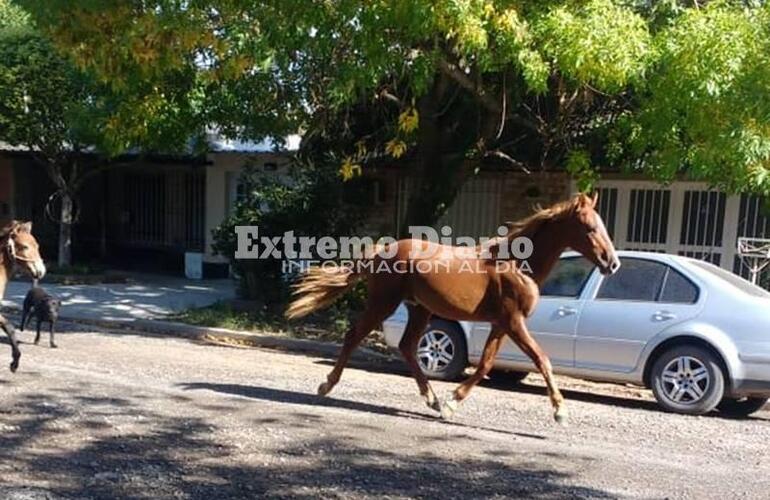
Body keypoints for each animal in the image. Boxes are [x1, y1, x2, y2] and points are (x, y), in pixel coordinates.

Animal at [0, 222, 46, 372]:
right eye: (25, 246)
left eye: (37, 245)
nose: (41, 271)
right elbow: (9, 327)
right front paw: (15, 362)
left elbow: (9, 328)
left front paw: (15, 362)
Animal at [286, 194, 616, 422]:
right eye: (589, 227)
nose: (611, 263)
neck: (517, 265)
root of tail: (381, 250)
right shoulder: (513, 321)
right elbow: (542, 360)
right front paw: (561, 412)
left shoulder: (501, 324)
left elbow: (485, 364)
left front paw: (450, 403)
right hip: (384, 303)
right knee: (355, 335)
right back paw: (326, 385)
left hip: (419, 310)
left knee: (407, 347)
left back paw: (431, 399)